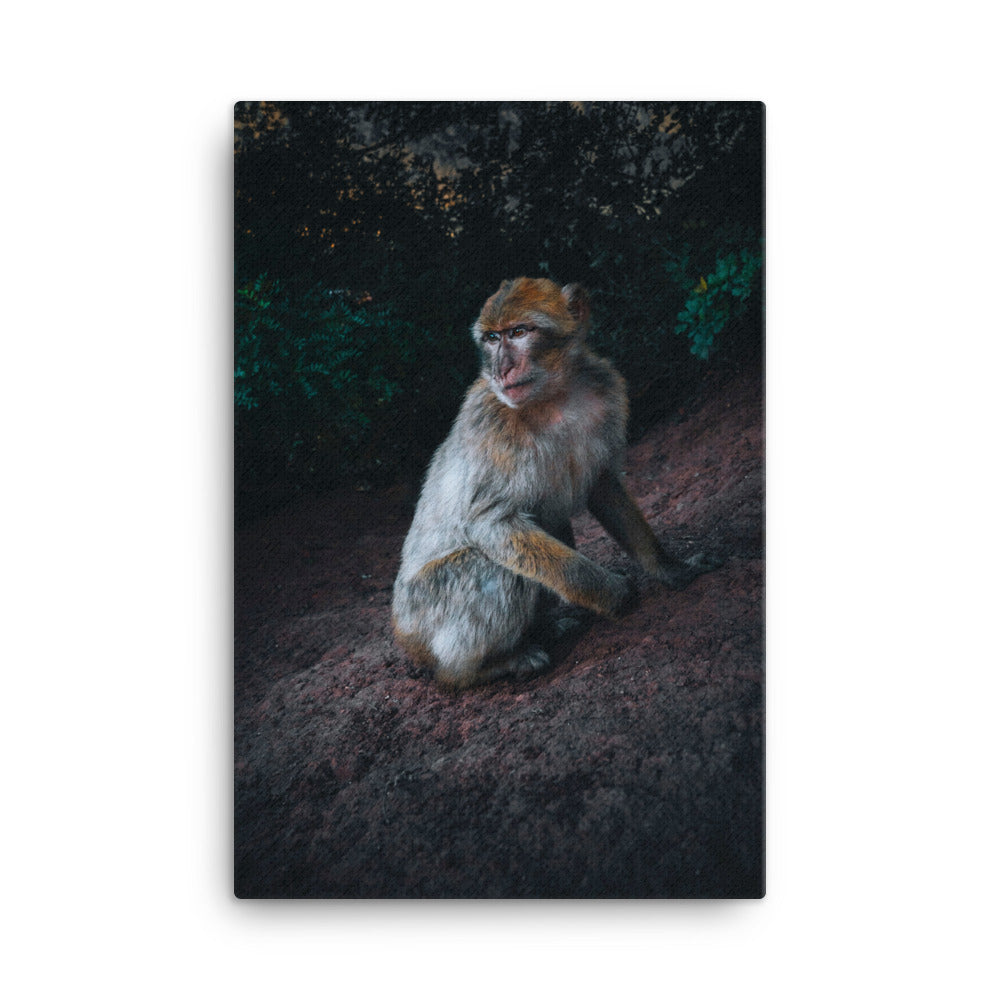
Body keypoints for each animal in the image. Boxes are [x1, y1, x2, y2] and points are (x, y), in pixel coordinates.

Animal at [392, 277, 715, 689]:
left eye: (518, 332)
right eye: (492, 338)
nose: (501, 369)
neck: (553, 397)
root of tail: (404, 637)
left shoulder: (605, 390)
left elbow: (603, 485)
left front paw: (668, 567)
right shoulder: (492, 424)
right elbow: (490, 524)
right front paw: (612, 593)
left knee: (551, 524)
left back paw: (544, 629)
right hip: (427, 615)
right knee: (492, 568)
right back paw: (485, 667)